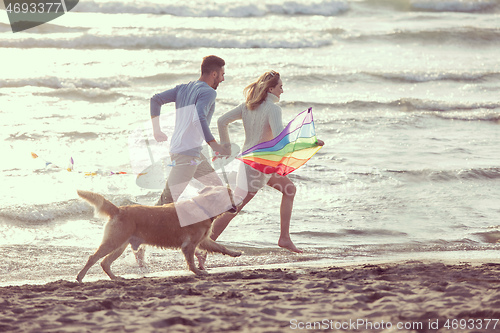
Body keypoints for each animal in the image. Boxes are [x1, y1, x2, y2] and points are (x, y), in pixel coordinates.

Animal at [75, 185, 243, 282]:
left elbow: (221, 247)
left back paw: (115, 278)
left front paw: (235, 253)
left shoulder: (202, 240)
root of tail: (118, 209)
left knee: (105, 262)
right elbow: (191, 261)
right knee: (93, 258)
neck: (203, 207)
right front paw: (198, 272)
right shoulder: (189, 245)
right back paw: (80, 277)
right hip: (113, 242)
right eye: (230, 195)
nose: (240, 198)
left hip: (119, 245)